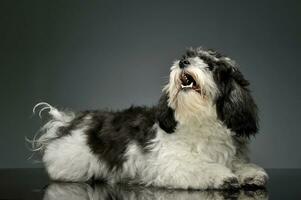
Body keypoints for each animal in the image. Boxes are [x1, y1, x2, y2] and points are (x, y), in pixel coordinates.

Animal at [31, 47, 268, 190]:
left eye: (210, 65)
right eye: (188, 55)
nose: (183, 62)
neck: (199, 121)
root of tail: (68, 122)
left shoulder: (231, 154)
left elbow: (239, 164)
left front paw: (250, 174)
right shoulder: (173, 164)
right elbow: (201, 167)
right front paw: (223, 176)